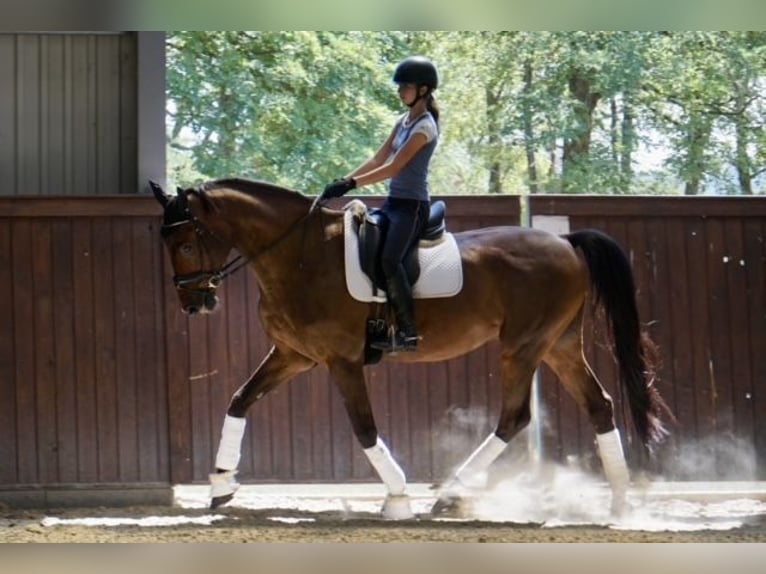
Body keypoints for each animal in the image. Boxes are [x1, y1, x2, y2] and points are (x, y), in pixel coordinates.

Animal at [152, 178, 672, 520]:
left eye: (186, 243)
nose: (193, 303)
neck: (298, 255)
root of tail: (564, 241)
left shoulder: (342, 360)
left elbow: (364, 429)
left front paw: (398, 498)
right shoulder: (293, 355)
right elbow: (239, 401)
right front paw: (222, 484)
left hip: (523, 347)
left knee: (515, 417)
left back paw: (450, 494)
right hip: (558, 345)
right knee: (598, 406)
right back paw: (620, 501)